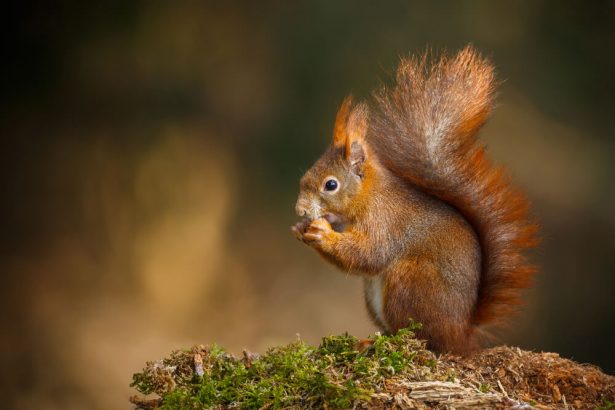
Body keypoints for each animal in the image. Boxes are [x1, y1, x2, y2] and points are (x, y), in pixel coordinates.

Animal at [294, 44, 540, 352]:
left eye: (331, 185)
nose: (300, 210)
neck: (368, 196)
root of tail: (462, 334)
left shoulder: (384, 222)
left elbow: (369, 255)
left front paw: (322, 234)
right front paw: (300, 229)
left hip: (410, 281)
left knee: (424, 337)